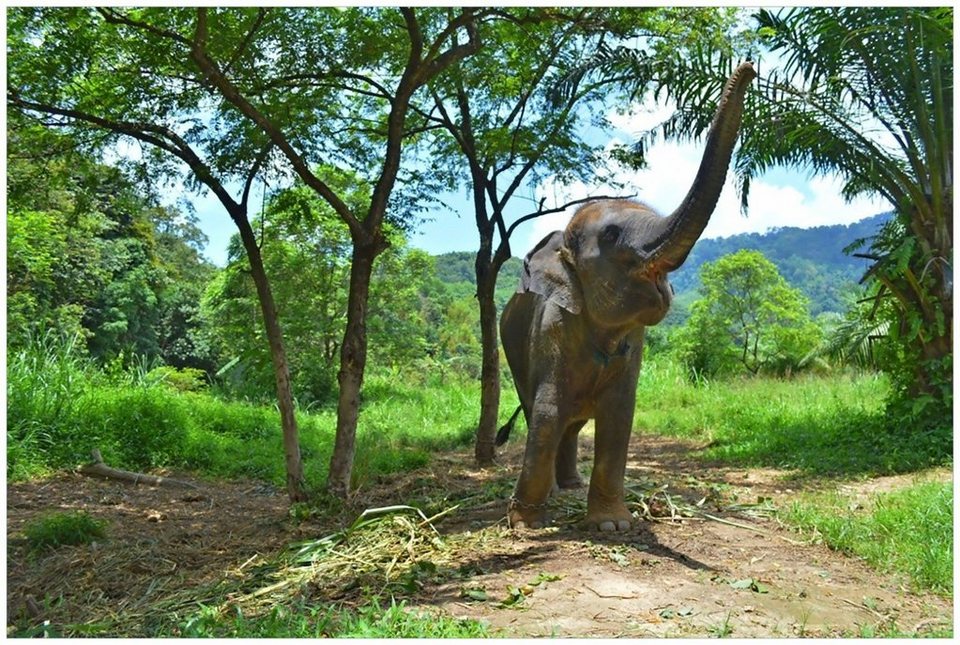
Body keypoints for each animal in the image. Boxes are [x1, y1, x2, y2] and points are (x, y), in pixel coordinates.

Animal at [496, 63, 756, 532]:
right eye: (613, 235)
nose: (748, 66)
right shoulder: (550, 328)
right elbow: (547, 411)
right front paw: (524, 525)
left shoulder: (633, 344)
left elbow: (619, 416)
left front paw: (612, 526)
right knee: (542, 412)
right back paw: (555, 493)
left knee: (574, 423)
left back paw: (571, 487)